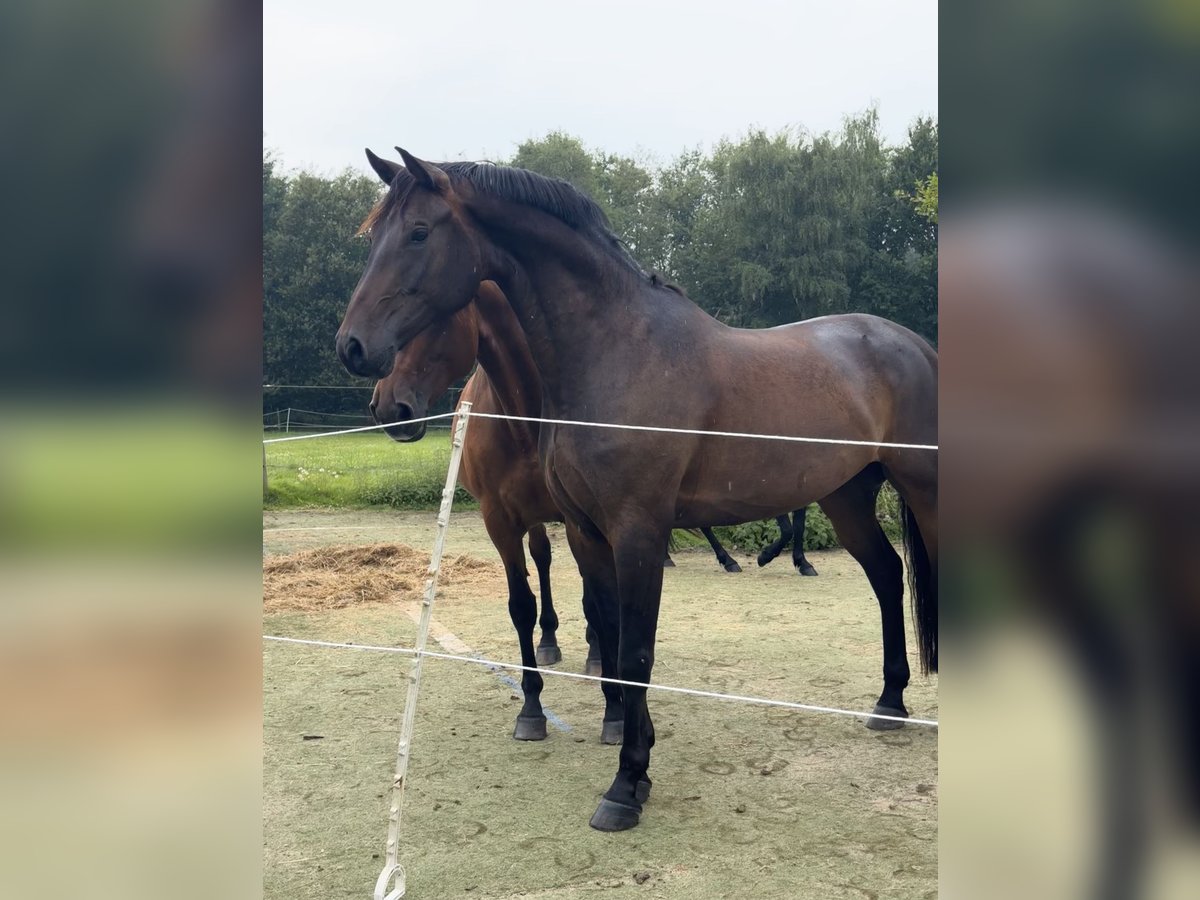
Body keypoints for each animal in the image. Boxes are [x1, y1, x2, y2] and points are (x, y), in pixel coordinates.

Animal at [338, 151, 936, 835]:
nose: (353, 349)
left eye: (418, 233)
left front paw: (624, 786)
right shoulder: (588, 532)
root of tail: (915, 345)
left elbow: (636, 653)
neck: (618, 350)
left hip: (923, 491)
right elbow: (611, 635)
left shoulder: (638, 531)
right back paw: (890, 701)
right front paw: (632, 751)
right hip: (846, 498)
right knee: (887, 575)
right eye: (375, 237)